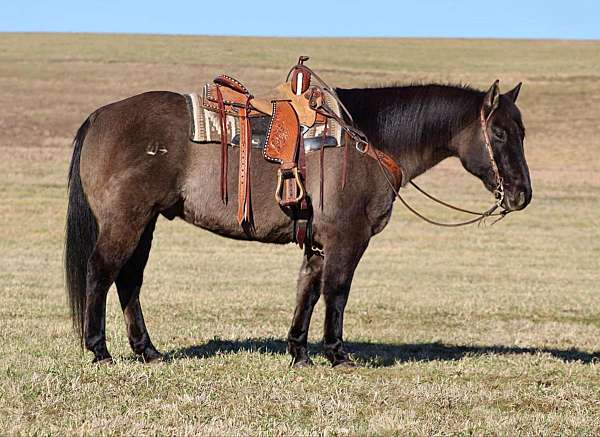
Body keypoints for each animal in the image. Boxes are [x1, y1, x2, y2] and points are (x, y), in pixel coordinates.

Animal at [65, 78, 532, 364]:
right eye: (500, 133)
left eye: (522, 132)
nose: (521, 195)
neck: (368, 141)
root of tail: (100, 117)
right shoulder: (348, 237)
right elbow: (337, 292)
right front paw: (337, 354)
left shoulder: (320, 243)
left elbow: (307, 291)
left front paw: (300, 352)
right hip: (126, 221)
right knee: (101, 271)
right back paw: (99, 349)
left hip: (145, 223)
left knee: (129, 280)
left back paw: (148, 351)